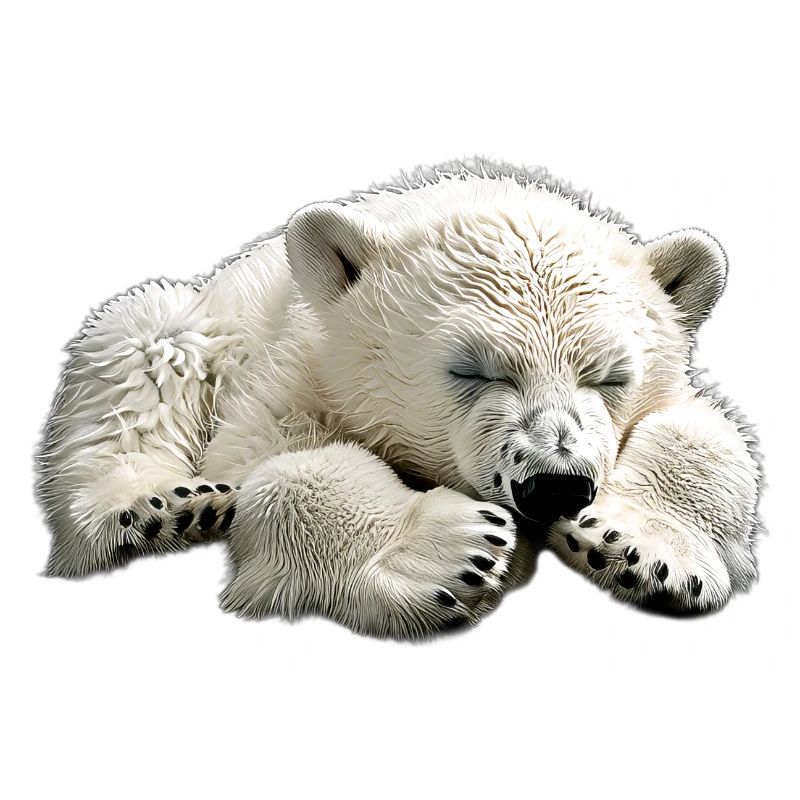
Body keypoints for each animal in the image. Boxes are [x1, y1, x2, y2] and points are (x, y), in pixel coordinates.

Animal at [35, 159, 762, 638]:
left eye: (611, 376)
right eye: (473, 371)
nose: (554, 484)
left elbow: (706, 438)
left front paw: (644, 550)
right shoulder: (297, 378)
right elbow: (281, 470)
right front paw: (451, 548)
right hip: (202, 321)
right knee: (143, 346)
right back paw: (165, 506)